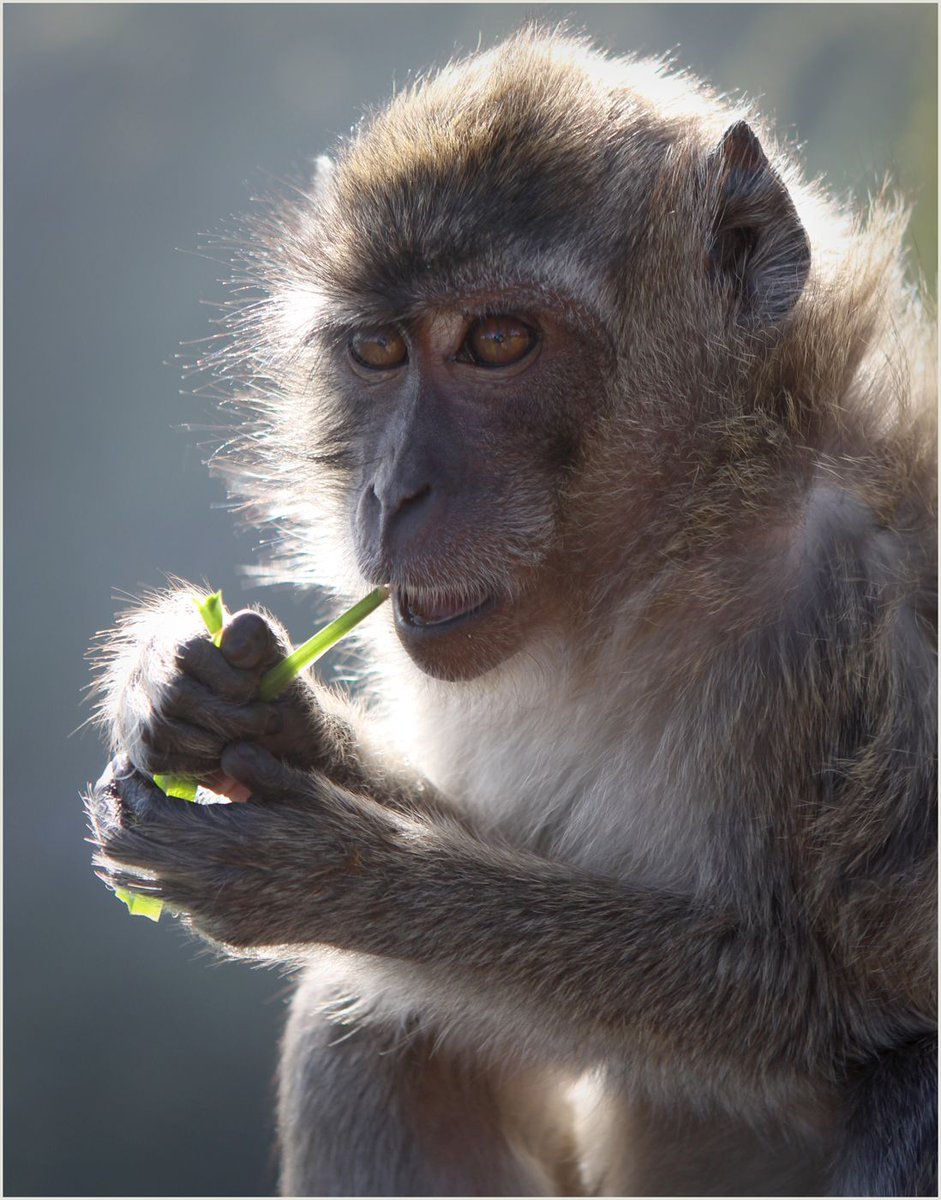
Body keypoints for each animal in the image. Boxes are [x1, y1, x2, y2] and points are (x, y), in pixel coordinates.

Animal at [86, 27, 937, 1198]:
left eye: (496, 341)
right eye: (377, 352)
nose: (393, 493)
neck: (703, 513)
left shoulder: (893, 601)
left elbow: (842, 1002)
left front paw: (347, 875)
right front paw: (215, 695)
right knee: (372, 1027)